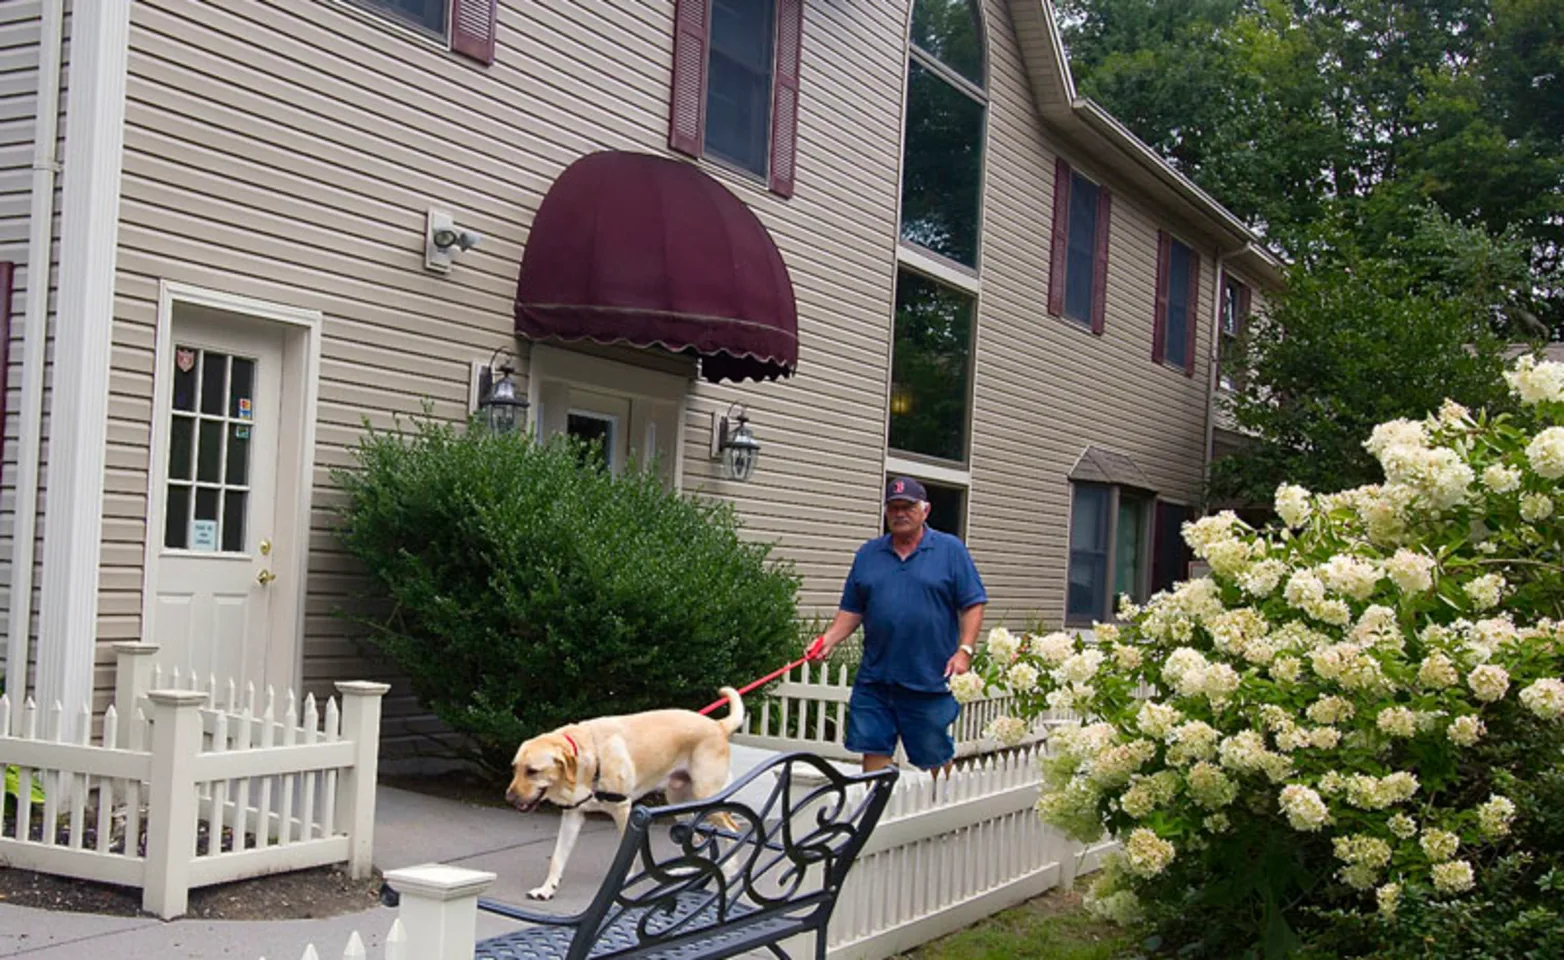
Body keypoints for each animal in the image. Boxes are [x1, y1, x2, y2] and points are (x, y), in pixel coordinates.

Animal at [500, 691, 744, 900]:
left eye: (532, 771)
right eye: (514, 768)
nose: (509, 799)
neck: (589, 758)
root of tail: (717, 725)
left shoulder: (623, 811)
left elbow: (628, 855)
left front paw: (627, 880)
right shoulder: (573, 816)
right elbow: (557, 858)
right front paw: (547, 889)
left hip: (707, 796)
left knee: (732, 830)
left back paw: (730, 871)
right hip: (679, 801)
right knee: (699, 836)